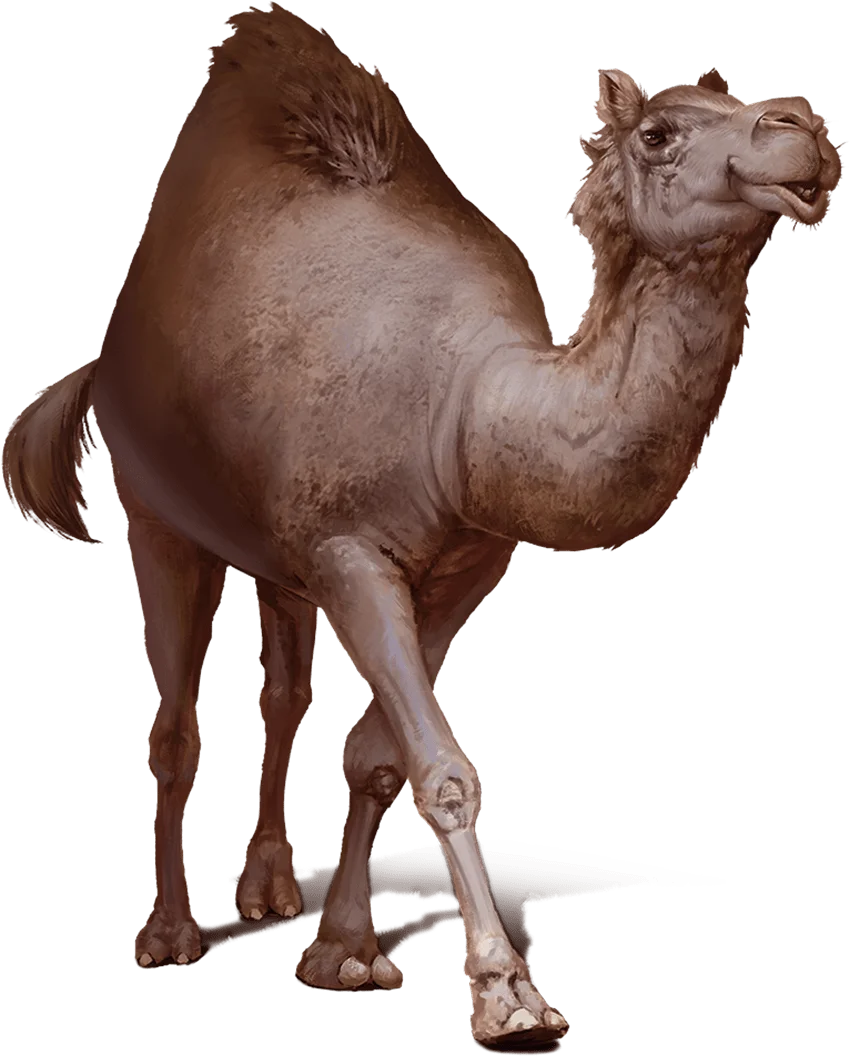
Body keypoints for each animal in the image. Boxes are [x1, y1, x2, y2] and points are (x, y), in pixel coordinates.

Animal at [2, 4, 841, 1050]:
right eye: (658, 133)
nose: (802, 128)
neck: (467, 410)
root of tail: (109, 350)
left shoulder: (463, 566)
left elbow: (376, 760)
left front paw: (343, 949)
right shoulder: (352, 553)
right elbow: (441, 769)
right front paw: (507, 995)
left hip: (276, 554)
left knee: (282, 691)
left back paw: (268, 885)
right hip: (156, 510)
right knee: (173, 726)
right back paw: (167, 933)